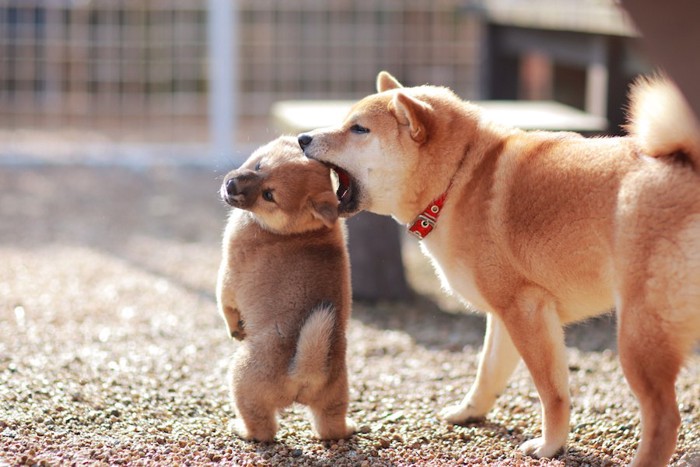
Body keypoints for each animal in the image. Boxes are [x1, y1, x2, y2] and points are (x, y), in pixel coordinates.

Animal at [215, 137, 356, 444]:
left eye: (269, 195)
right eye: (259, 165)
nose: (231, 186)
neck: (300, 231)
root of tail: (305, 373)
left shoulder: (228, 275)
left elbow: (225, 306)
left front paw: (234, 328)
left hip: (242, 378)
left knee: (263, 429)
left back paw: (242, 430)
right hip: (334, 399)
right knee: (330, 427)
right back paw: (349, 428)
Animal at [298, 71, 700, 466]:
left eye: (358, 129)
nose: (302, 137)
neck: (458, 180)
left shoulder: (527, 310)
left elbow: (552, 393)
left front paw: (550, 446)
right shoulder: (504, 315)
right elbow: (487, 373)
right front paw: (468, 412)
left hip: (639, 335)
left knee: (664, 418)